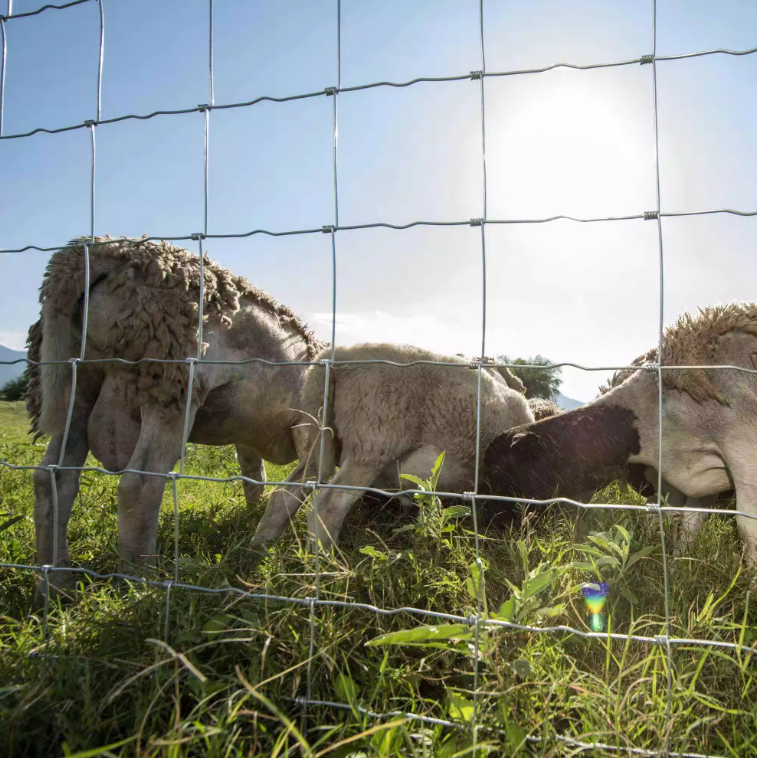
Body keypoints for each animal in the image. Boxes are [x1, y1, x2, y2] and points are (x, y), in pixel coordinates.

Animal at [28, 238, 324, 588]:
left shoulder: (250, 435)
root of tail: (86, 255)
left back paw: (57, 583)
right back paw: (140, 580)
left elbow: (254, 476)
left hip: (77, 380)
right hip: (171, 380)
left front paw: (254, 517)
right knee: (139, 485)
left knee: (52, 480)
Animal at [254, 342, 532, 548]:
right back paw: (328, 566)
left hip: (319, 433)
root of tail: (337, 358)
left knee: (287, 492)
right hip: (371, 442)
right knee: (328, 506)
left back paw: (261, 548)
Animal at [482, 306, 756, 560]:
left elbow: (746, 530)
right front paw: (679, 561)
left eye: (497, 471)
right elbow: (687, 522)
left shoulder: (743, 456)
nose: (487, 530)